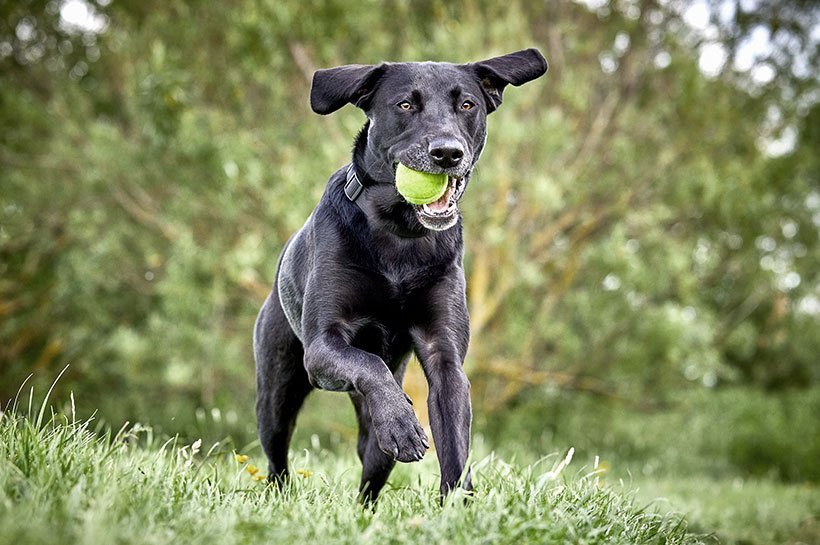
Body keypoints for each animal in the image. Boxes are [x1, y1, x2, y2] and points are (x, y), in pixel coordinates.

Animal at [255, 49, 552, 500]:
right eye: (406, 105)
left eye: (468, 105)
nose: (447, 153)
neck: (400, 233)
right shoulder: (323, 347)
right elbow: (368, 363)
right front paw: (402, 424)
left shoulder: (444, 353)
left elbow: (455, 442)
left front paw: (458, 505)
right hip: (277, 389)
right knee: (277, 452)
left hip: (369, 438)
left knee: (371, 467)